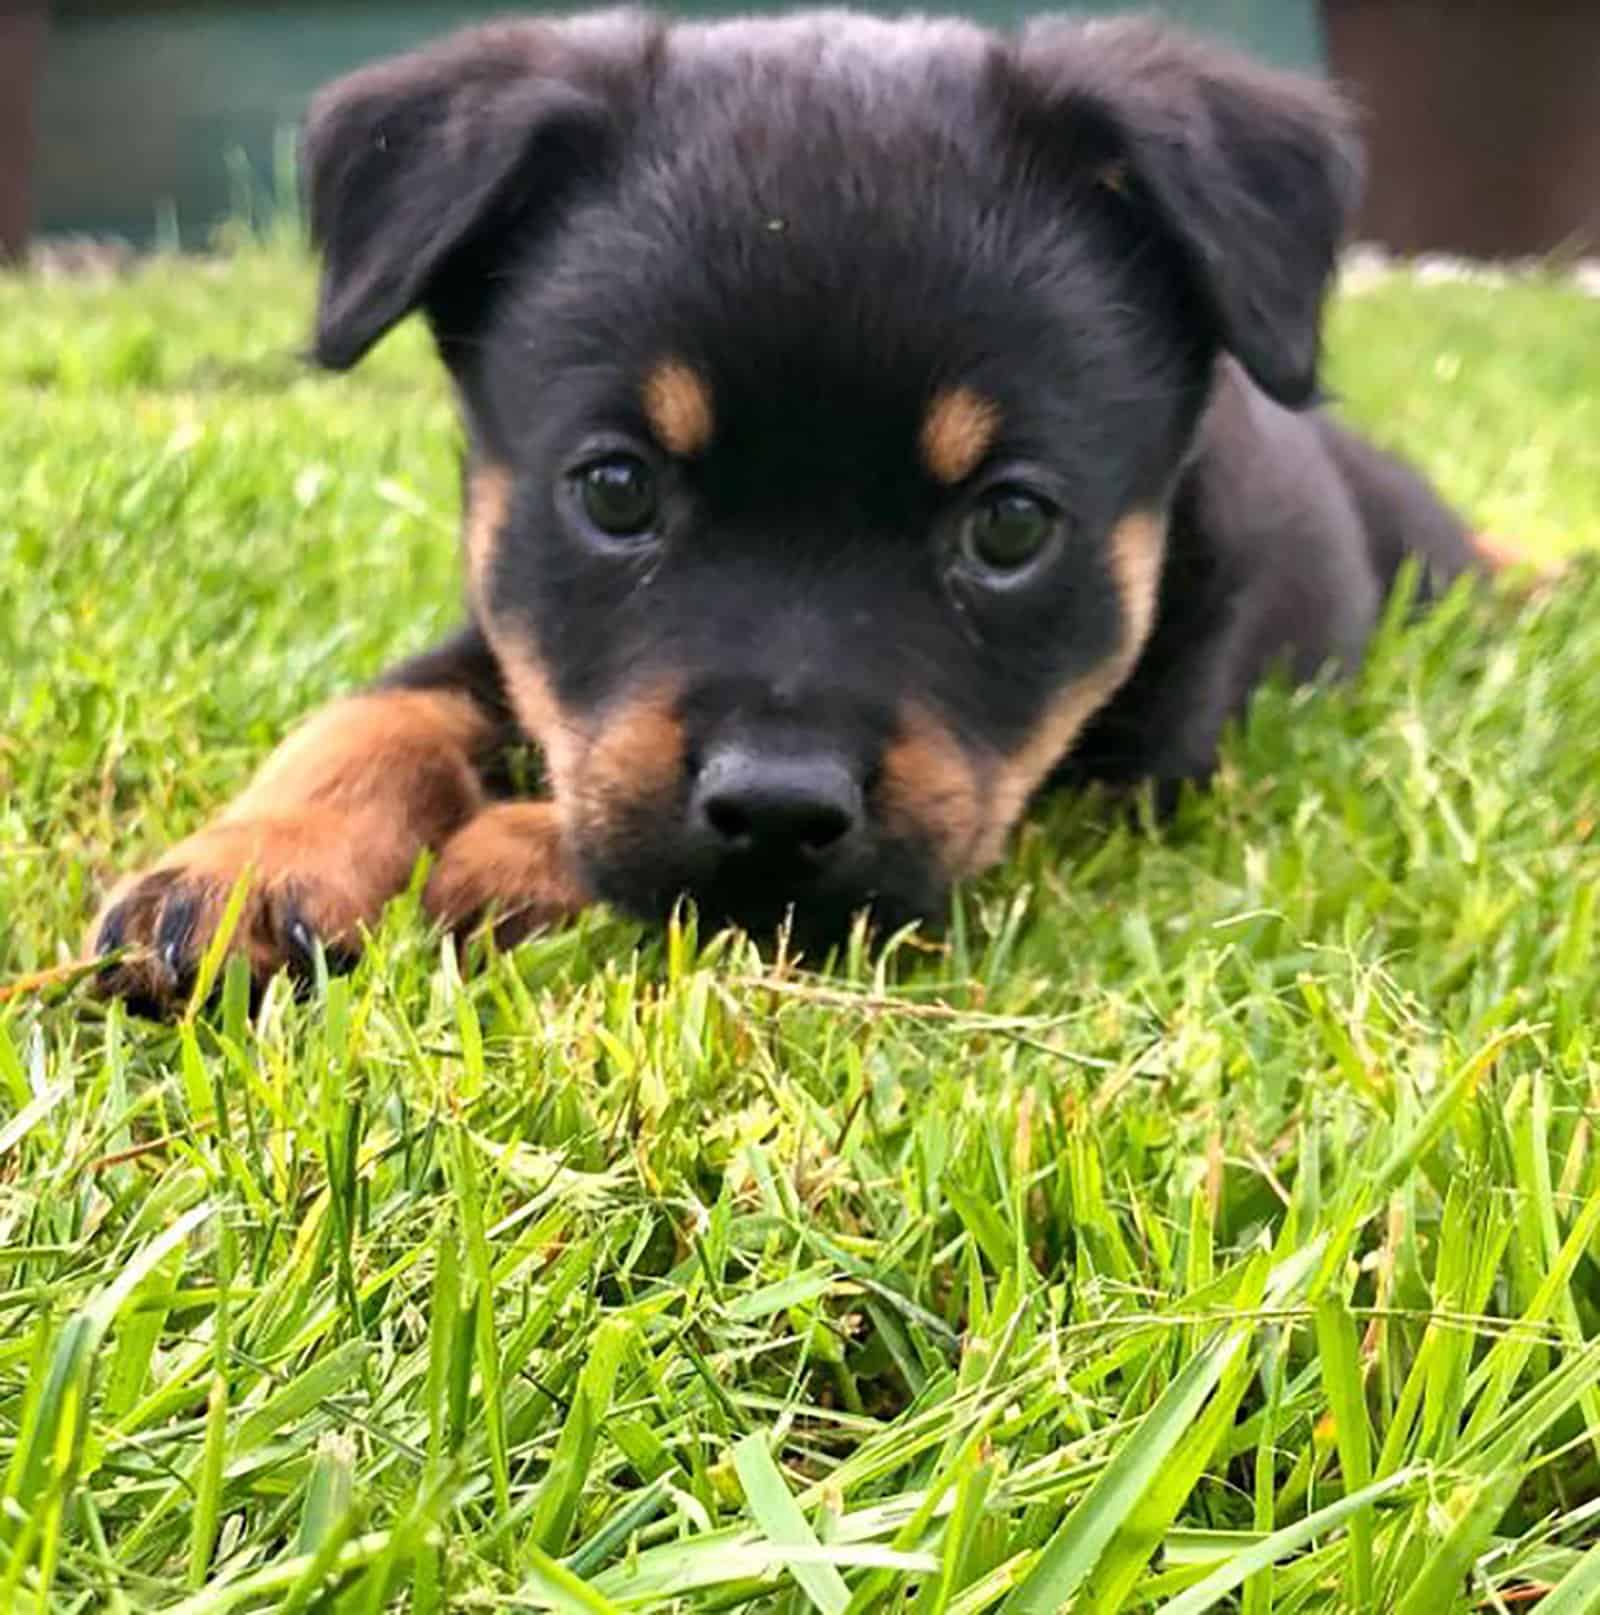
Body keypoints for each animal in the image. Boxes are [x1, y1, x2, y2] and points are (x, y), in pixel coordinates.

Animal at [93, 6, 1485, 1001]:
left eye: (1011, 523)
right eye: (614, 489)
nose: (775, 809)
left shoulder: (1124, 778)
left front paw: (503, 852)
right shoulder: (499, 623)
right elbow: (376, 711)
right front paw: (246, 865)